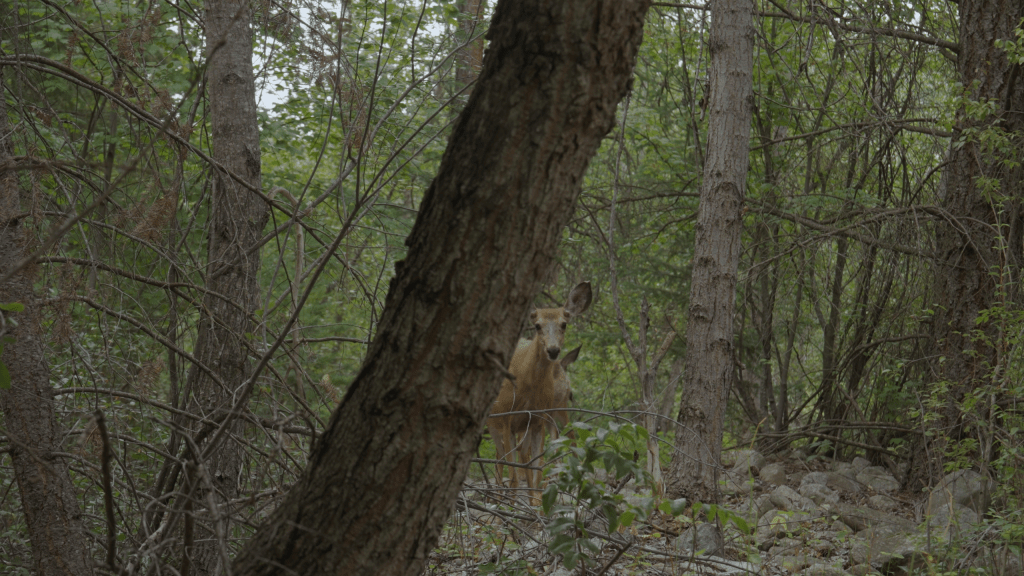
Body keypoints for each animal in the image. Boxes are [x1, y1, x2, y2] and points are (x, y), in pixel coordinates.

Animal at [487, 282, 591, 504]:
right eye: (537, 325)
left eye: (564, 324)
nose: (552, 350)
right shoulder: (508, 420)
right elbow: (514, 477)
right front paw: (510, 510)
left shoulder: (537, 420)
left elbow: (536, 472)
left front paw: (536, 508)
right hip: (494, 422)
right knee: (500, 460)